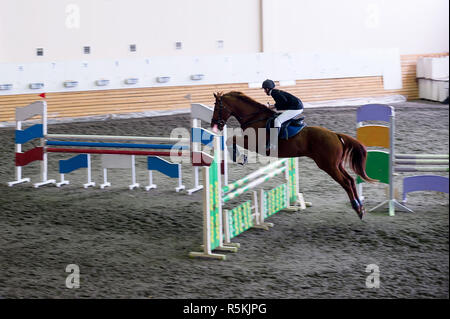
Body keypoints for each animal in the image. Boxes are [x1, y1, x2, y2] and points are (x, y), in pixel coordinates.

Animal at [211, 90, 376, 220]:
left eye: (217, 107)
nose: (215, 124)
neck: (254, 117)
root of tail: (336, 135)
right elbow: (230, 140)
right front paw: (241, 158)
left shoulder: (253, 142)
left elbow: (231, 139)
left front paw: (240, 158)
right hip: (336, 164)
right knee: (350, 180)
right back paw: (361, 207)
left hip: (328, 166)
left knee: (346, 182)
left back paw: (357, 208)